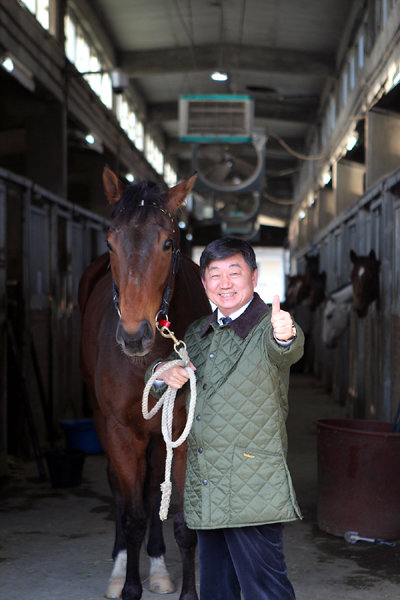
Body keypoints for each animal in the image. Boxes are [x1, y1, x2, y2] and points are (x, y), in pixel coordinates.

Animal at [77, 168, 212, 600]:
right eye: (110, 242)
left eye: (168, 243)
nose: (134, 336)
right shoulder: (121, 431)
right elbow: (133, 517)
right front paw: (130, 587)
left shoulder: (182, 433)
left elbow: (183, 524)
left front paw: (186, 591)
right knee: (122, 494)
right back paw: (120, 570)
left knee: (154, 488)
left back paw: (158, 568)